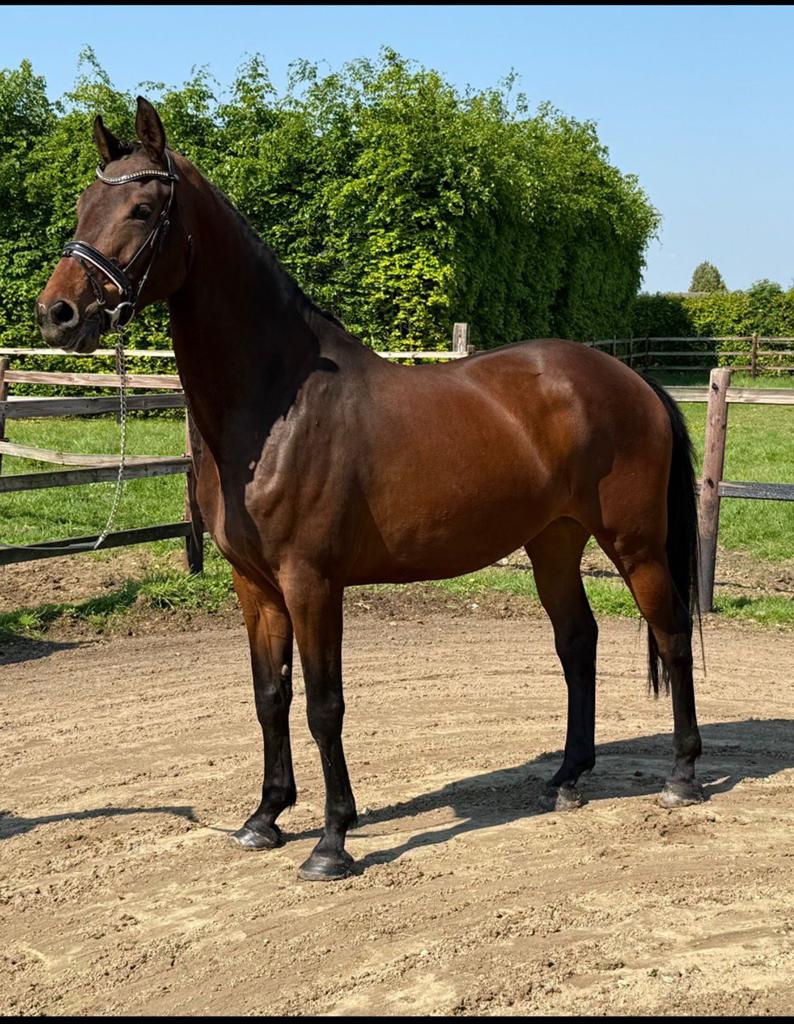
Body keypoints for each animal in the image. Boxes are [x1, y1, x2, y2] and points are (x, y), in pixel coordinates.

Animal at [36, 98, 704, 881]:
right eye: (82, 205)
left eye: (142, 208)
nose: (58, 314)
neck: (275, 404)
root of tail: (633, 380)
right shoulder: (254, 585)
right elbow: (270, 696)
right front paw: (264, 818)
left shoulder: (311, 582)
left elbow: (324, 704)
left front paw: (331, 842)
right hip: (554, 542)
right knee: (577, 642)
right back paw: (567, 778)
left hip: (636, 544)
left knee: (672, 634)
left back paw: (682, 778)